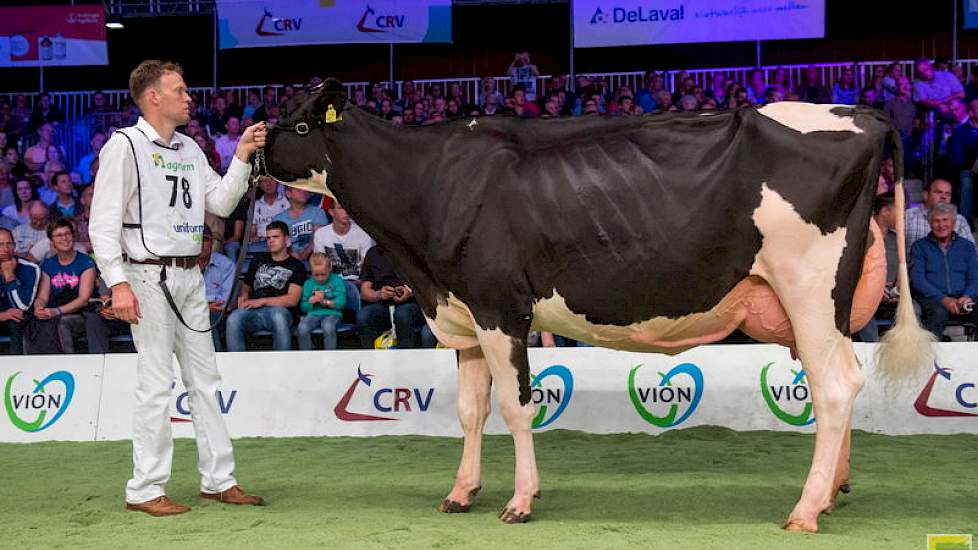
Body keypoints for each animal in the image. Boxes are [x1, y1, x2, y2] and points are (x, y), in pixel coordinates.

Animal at [264, 80, 932, 532]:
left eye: (299, 127)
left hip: (810, 286)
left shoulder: (500, 308)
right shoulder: (463, 313)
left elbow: (516, 407)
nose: (257, 149)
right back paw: (833, 491)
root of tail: (862, 113)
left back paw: (805, 508)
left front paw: (519, 501)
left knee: (836, 385)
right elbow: (469, 411)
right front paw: (461, 492)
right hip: (827, 305)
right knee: (838, 383)